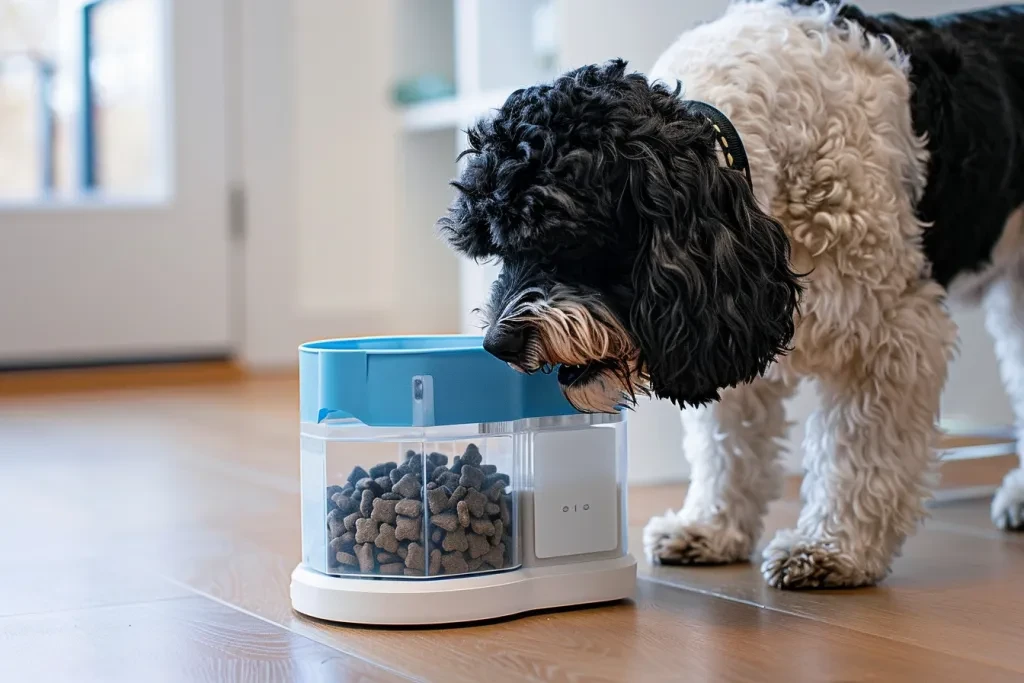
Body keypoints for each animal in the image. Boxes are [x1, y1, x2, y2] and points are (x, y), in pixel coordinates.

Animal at [434, 0, 1024, 589]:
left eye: (561, 237)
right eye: (498, 249)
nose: (498, 345)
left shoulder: (885, 335)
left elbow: (857, 454)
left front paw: (830, 549)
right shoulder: (727, 323)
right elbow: (727, 446)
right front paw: (710, 528)